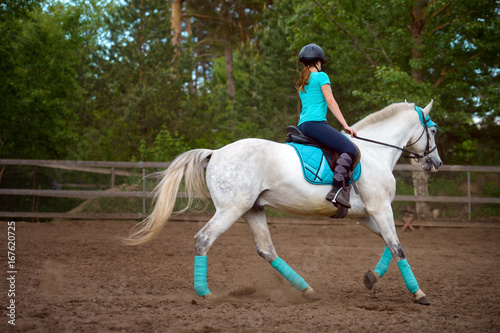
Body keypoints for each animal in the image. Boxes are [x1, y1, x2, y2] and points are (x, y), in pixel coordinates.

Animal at [124, 100, 442, 304]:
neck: (376, 153)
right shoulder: (380, 208)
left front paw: (371, 279)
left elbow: (391, 243)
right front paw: (419, 295)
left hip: (252, 210)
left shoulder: (367, 215)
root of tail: (215, 152)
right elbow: (398, 247)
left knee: (267, 250)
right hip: (231, 209)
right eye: (433, 130)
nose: (436, 163)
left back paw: (307, 290)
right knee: (204, 239)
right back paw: (205, 294)